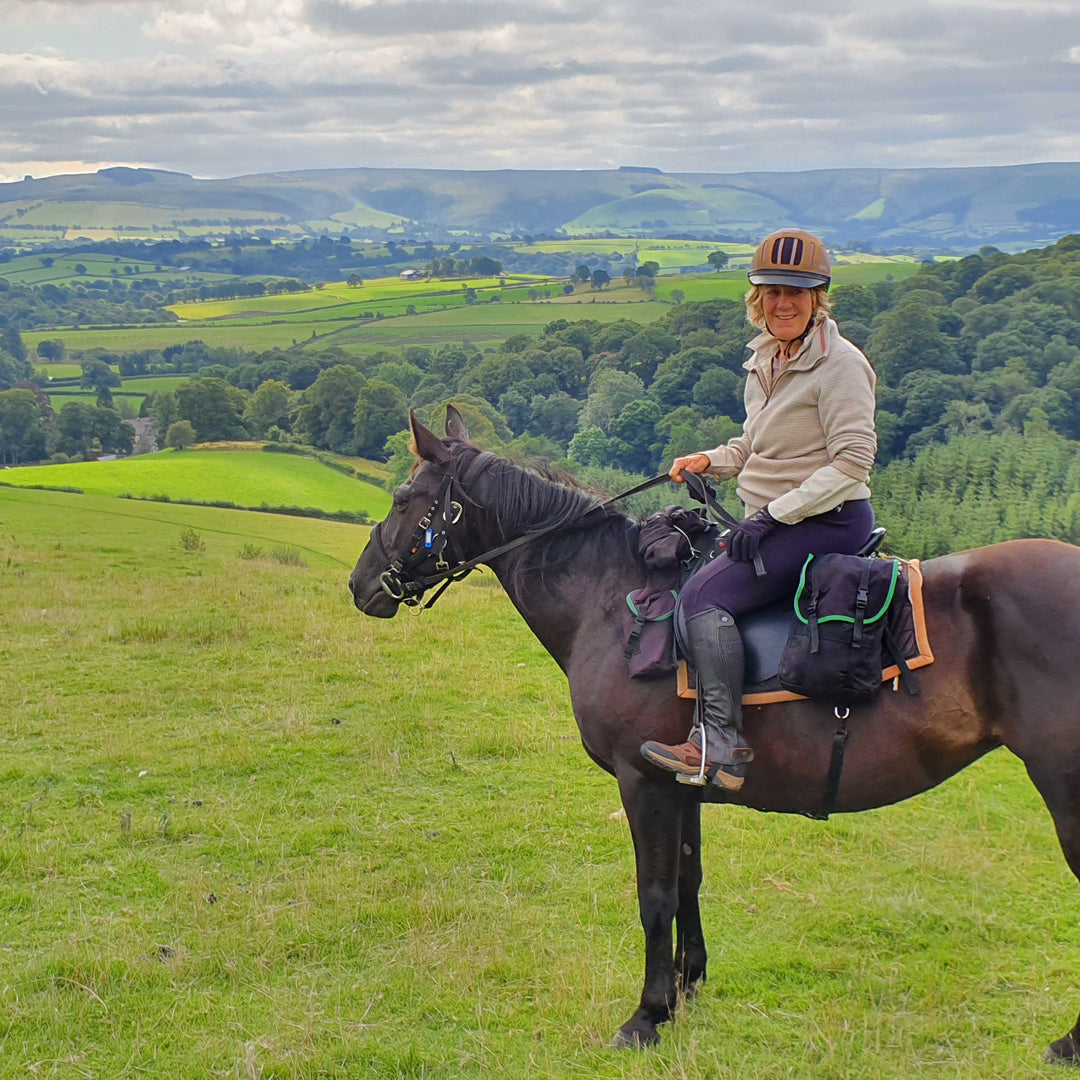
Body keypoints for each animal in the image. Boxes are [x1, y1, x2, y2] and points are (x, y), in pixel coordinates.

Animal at [347, 406, 1080, 1062]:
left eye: (404, 497)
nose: (360, 585)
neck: (609, 599)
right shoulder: (682, 781)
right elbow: (690, 880)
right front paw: (688, 986)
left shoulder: (643, 783)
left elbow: (655, 896)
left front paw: (647, 1015)